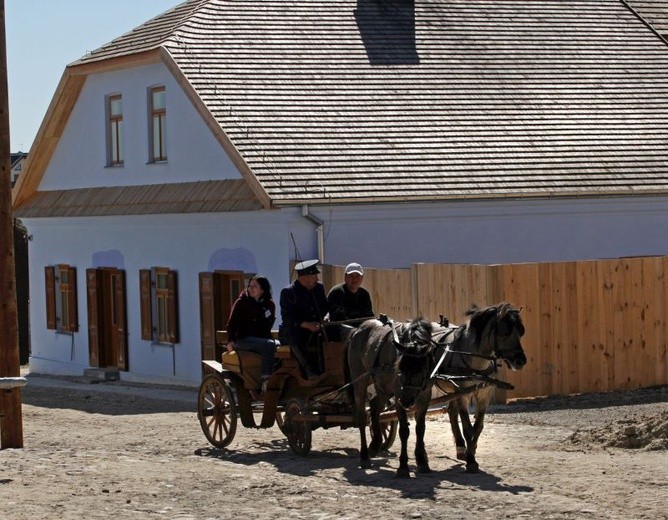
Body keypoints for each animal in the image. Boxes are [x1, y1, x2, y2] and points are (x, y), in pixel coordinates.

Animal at [348, 314, 436, 478]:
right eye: (400, 368)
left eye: (421, 370)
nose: (407, 401)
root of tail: (358, 329)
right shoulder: (397, 393)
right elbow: (404, 431)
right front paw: (403, 466)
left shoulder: (425, 395)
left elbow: (420, 429)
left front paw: (422, 462)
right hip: (360, 381)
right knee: (362, 417)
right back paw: (364, 456)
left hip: (383, 387)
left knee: (375, 408)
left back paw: (375, 443)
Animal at [434, 302, 528, 474]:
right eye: (506, 332)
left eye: (521, 332)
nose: (520, 361)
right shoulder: (463, 394)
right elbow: (467, 427)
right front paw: (471, 460)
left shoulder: (483, 395)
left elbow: (478, 427)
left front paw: (472, 453)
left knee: (451, 411)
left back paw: (460, 447)